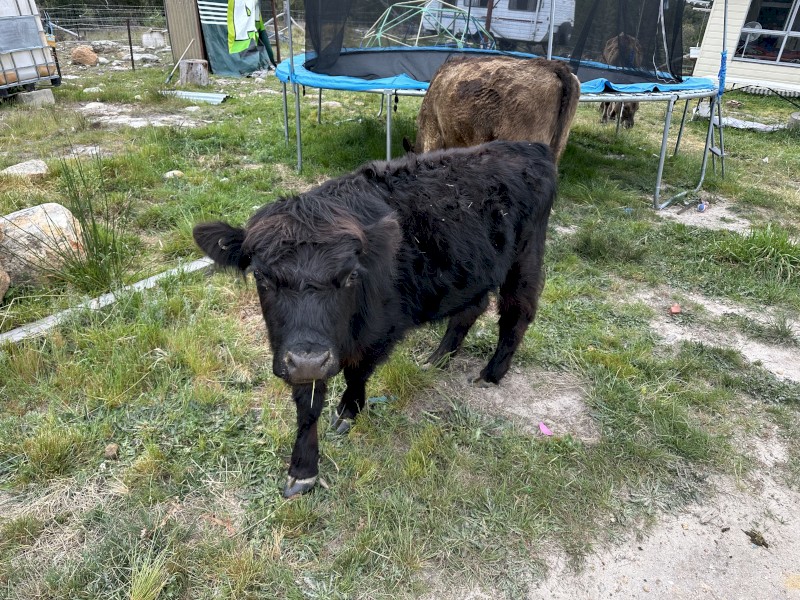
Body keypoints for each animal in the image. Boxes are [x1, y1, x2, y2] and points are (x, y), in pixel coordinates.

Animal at [193, 140, 557, 497]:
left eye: (351, 276)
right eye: (261, 277)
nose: (309, 360)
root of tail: (529, 147)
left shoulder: (379, 333)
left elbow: (356, 373)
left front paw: (348, 411)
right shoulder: (295, 351)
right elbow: (307, 402)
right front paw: (303, 470)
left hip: (525, 261)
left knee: (516, 315)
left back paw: (491, 373)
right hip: (473, 271)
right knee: (471, 309)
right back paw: (437, 359)